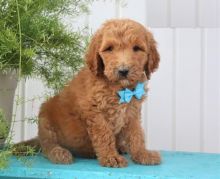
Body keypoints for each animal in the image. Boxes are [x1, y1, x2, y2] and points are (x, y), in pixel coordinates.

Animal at [37, 18, 161, 167]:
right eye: (109, 48)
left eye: (137, 48)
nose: (123, 71)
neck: (120, 88)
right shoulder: (95, 112)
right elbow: (104, 135)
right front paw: (111, 157)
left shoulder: (132, 112)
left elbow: (136, 134)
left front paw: (142, 154)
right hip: (45, 119)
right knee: (47, 144)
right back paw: (59, 152)